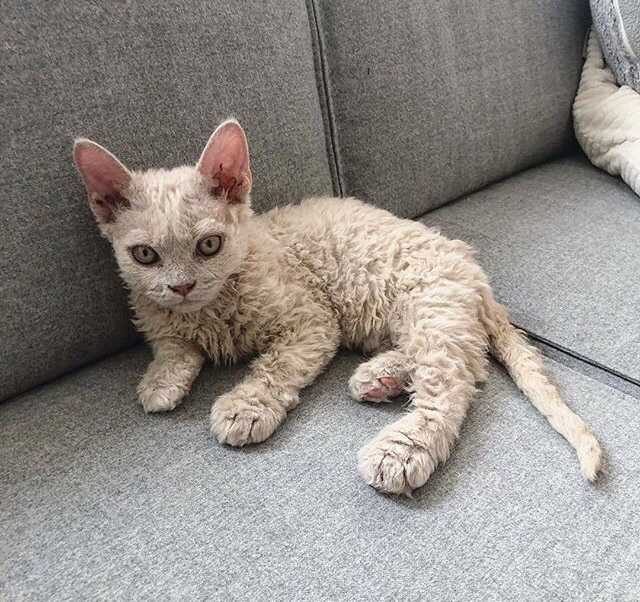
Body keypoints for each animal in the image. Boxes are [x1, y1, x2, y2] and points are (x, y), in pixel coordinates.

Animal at [72, 118, 604, 492]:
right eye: (145, 255)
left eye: (209, 245)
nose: (181, 286)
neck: (210, 309)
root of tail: (475, 274)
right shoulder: (159, 319)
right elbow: (173, 348)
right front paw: (161, 381)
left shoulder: (310, 321)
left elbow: (275, 367)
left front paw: (245, 405)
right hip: (422, 317)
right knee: (448, 360)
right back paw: (380, 376)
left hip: (429, 305)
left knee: (453, 384)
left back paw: (401, 450)